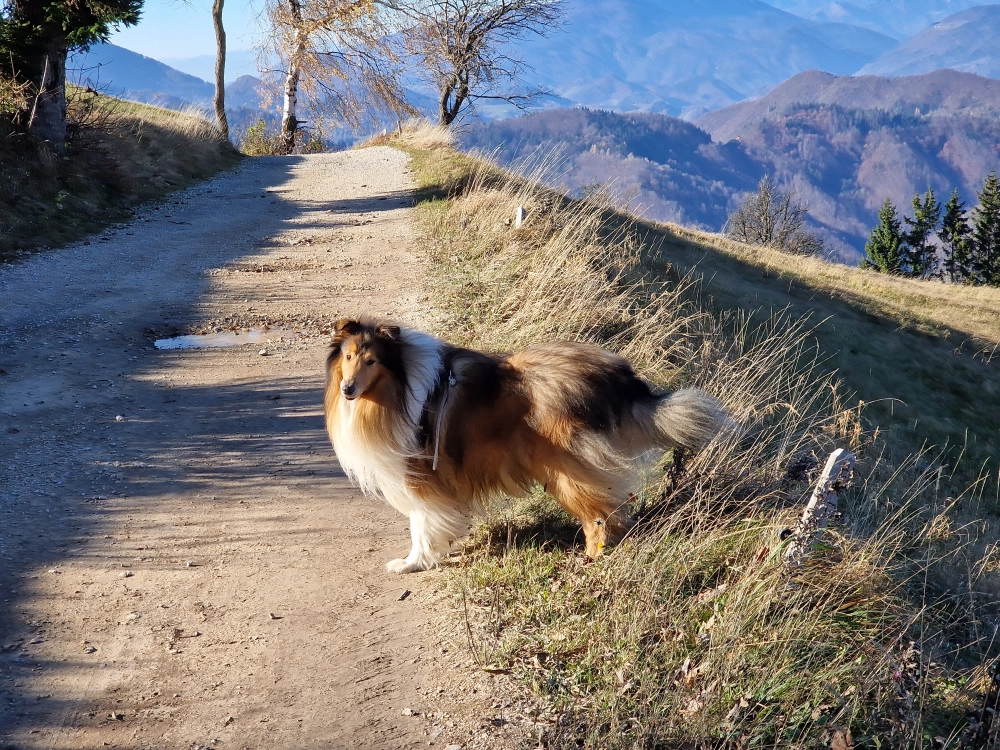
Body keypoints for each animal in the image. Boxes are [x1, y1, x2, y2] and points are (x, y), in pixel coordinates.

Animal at [324, 318, 732, 576]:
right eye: (348, 356)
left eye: (372, 360)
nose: (347, 390)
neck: (400, 383)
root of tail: (617, 378)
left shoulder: (422, 477)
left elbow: (420, 525)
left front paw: (413, 563)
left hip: (566, 469)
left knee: (601, 513)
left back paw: (592, 558)